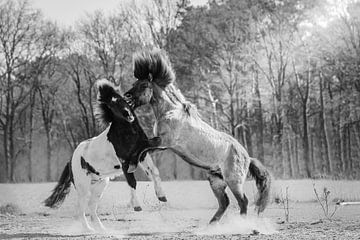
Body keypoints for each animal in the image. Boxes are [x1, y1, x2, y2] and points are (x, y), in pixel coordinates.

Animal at [45, 79, 167, 232]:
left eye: (122, 100)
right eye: (111, 105)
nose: (128, 114)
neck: (128, 134)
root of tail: (71, 160)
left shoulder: (141, 155)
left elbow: (153, 172)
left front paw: (162, 196)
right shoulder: (125, 163)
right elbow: (132, 182)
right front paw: (137, 206)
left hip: (100, 184)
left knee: (91, 207)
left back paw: (101, 229)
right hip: (83, 187)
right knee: (80, 209)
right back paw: (89, 230)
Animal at [125, 50, 272, 223]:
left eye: (143, 85)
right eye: (134, 84)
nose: (126, 97)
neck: (170, 112)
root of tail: (247, 158)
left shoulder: (164, 141)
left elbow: (141, 148)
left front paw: (132, 166)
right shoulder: (162, 146)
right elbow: (142, 150)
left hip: (233, 181)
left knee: (243, 202)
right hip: (216, 181)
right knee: (224, 203)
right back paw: (211, 226)